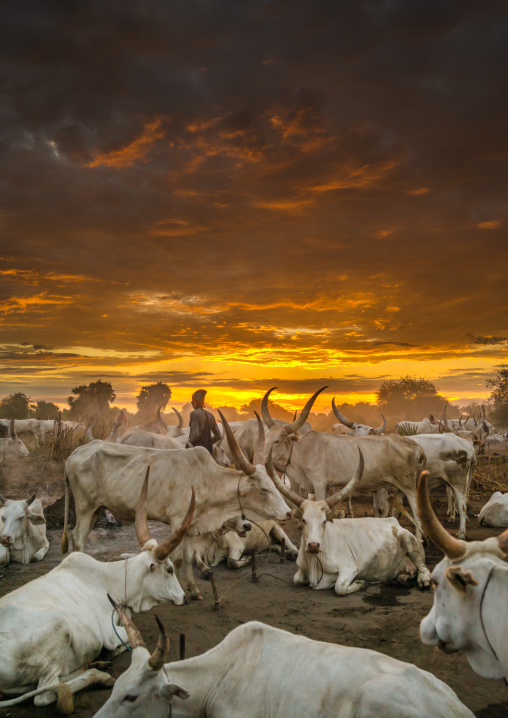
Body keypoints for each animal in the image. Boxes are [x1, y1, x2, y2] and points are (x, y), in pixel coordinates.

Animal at [0, 480, 193, 711]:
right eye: (170, 570)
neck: (110, 580)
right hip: (58, 625)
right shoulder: (109, 634)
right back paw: (98, 675)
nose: (184, 598)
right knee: (45, 694)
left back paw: (96, 664)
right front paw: (109, 655)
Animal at [62, 413, 291, 598]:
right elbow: (179, 558)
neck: (206, 479)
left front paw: (194, 590)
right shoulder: (178, 521)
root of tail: (75, 453)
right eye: (264, 489)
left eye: (273, 484)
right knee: (78, 540)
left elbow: (189, 557)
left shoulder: (191, 525)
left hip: (96, 508)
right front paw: (180, 588)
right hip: (84, 507)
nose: (288, 513)